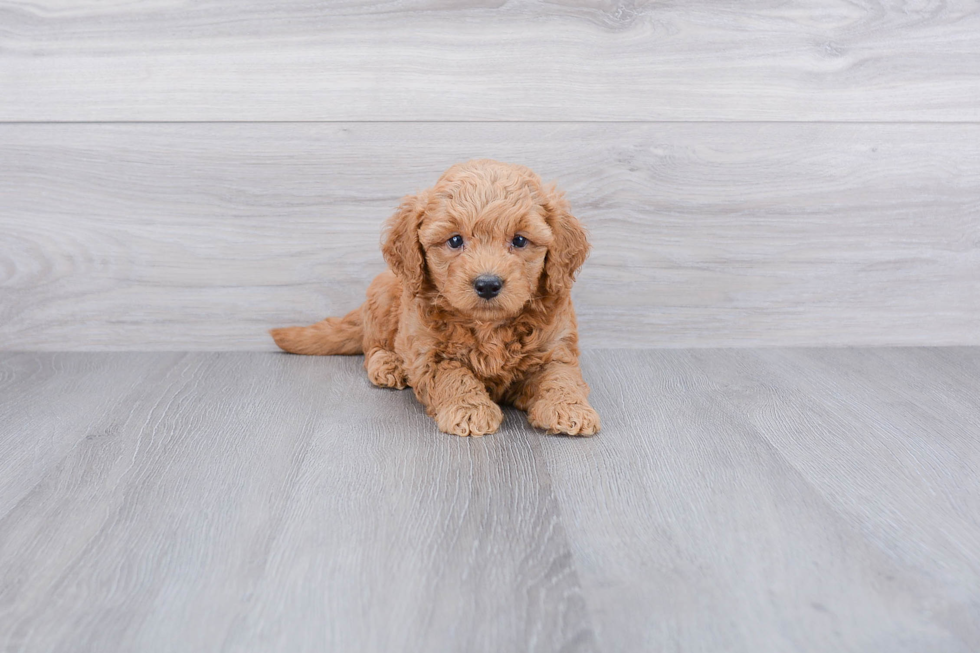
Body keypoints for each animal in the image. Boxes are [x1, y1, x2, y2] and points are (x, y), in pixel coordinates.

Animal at [272, 157, 600, 436]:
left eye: (519, 240)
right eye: (455, 240)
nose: (487, 284)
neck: (488, 327)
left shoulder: (556, 346)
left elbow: (561, 376)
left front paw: (569, 409)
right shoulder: (429, 353)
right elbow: (453, 376)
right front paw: (470, 410)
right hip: (384, 296)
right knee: (372, 345)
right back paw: (389, 365)